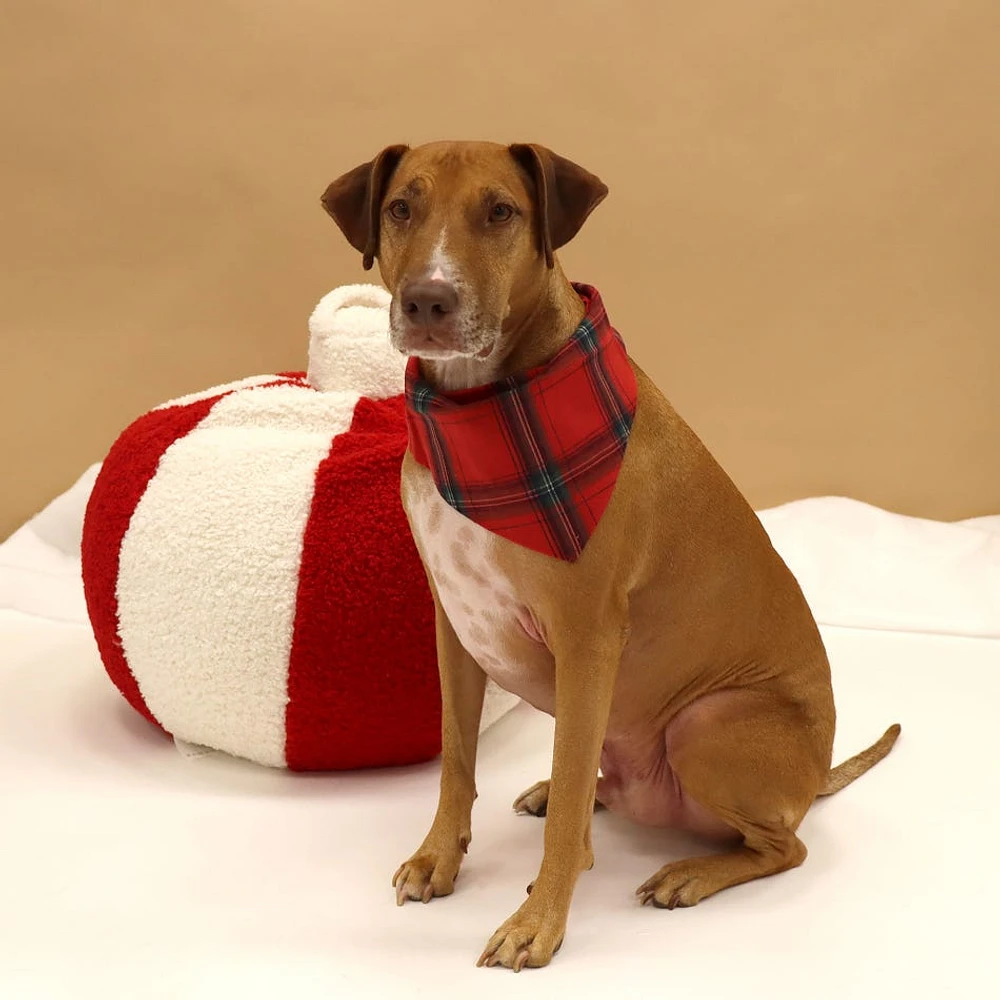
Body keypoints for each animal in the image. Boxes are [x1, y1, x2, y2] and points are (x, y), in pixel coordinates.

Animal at [320, 141, 900, 968]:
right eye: (402, 207)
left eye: (501, 211)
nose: (429, 301)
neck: (481, 410)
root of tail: (817, 773)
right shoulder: (455, 624)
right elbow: (457, 760)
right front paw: (439, 858)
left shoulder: (587, 637)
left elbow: (566, 815)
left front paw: (539, 921)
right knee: (596, 774)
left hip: (705, 724)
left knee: (784, 848)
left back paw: (689, 871)